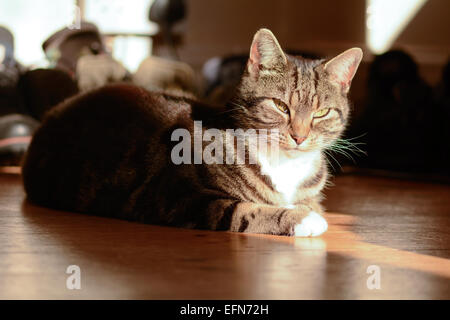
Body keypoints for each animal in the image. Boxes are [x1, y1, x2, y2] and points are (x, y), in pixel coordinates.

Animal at [22, 28, 364, 236]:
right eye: (281, 106)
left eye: (321, 113)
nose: (299, 136)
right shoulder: (179, 198)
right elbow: (245, 211)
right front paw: (302, 218)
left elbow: (310, 201)